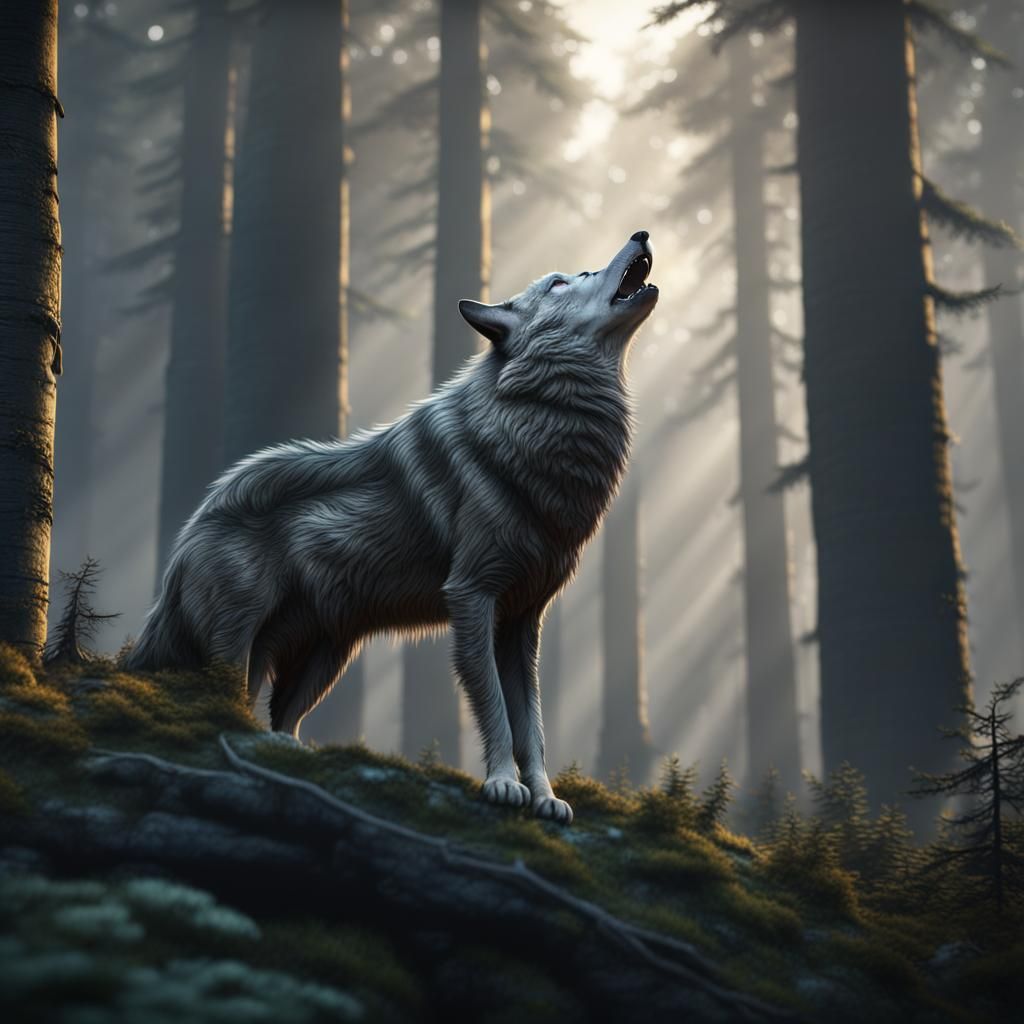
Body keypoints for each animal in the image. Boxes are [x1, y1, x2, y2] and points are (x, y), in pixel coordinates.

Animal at [126, 231, 658, 823]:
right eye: (562, 282)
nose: (640, 234)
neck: (538, 425)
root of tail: (197, 518)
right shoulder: (472, 598)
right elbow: (496, 709)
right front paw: (502, 785)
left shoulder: (523, 621)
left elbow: (533, 724)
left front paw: (545, 798)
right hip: (235, 648)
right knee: (227, 702)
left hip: (324, 658)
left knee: (280, 717)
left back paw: (285, 751)